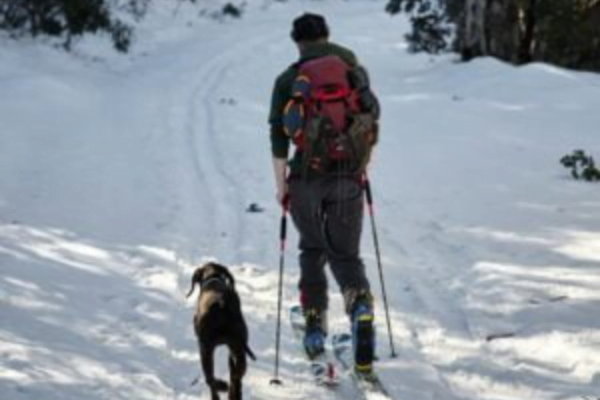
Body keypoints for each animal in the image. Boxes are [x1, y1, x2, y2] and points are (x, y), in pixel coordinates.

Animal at [186, 260, 254, 400]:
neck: (213, 278)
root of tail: (222, 306)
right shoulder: (232, 347)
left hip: (205, 349)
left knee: (210, 378)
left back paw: (222, 386)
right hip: (237, 347)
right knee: (238, 371)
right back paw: (233, 392)